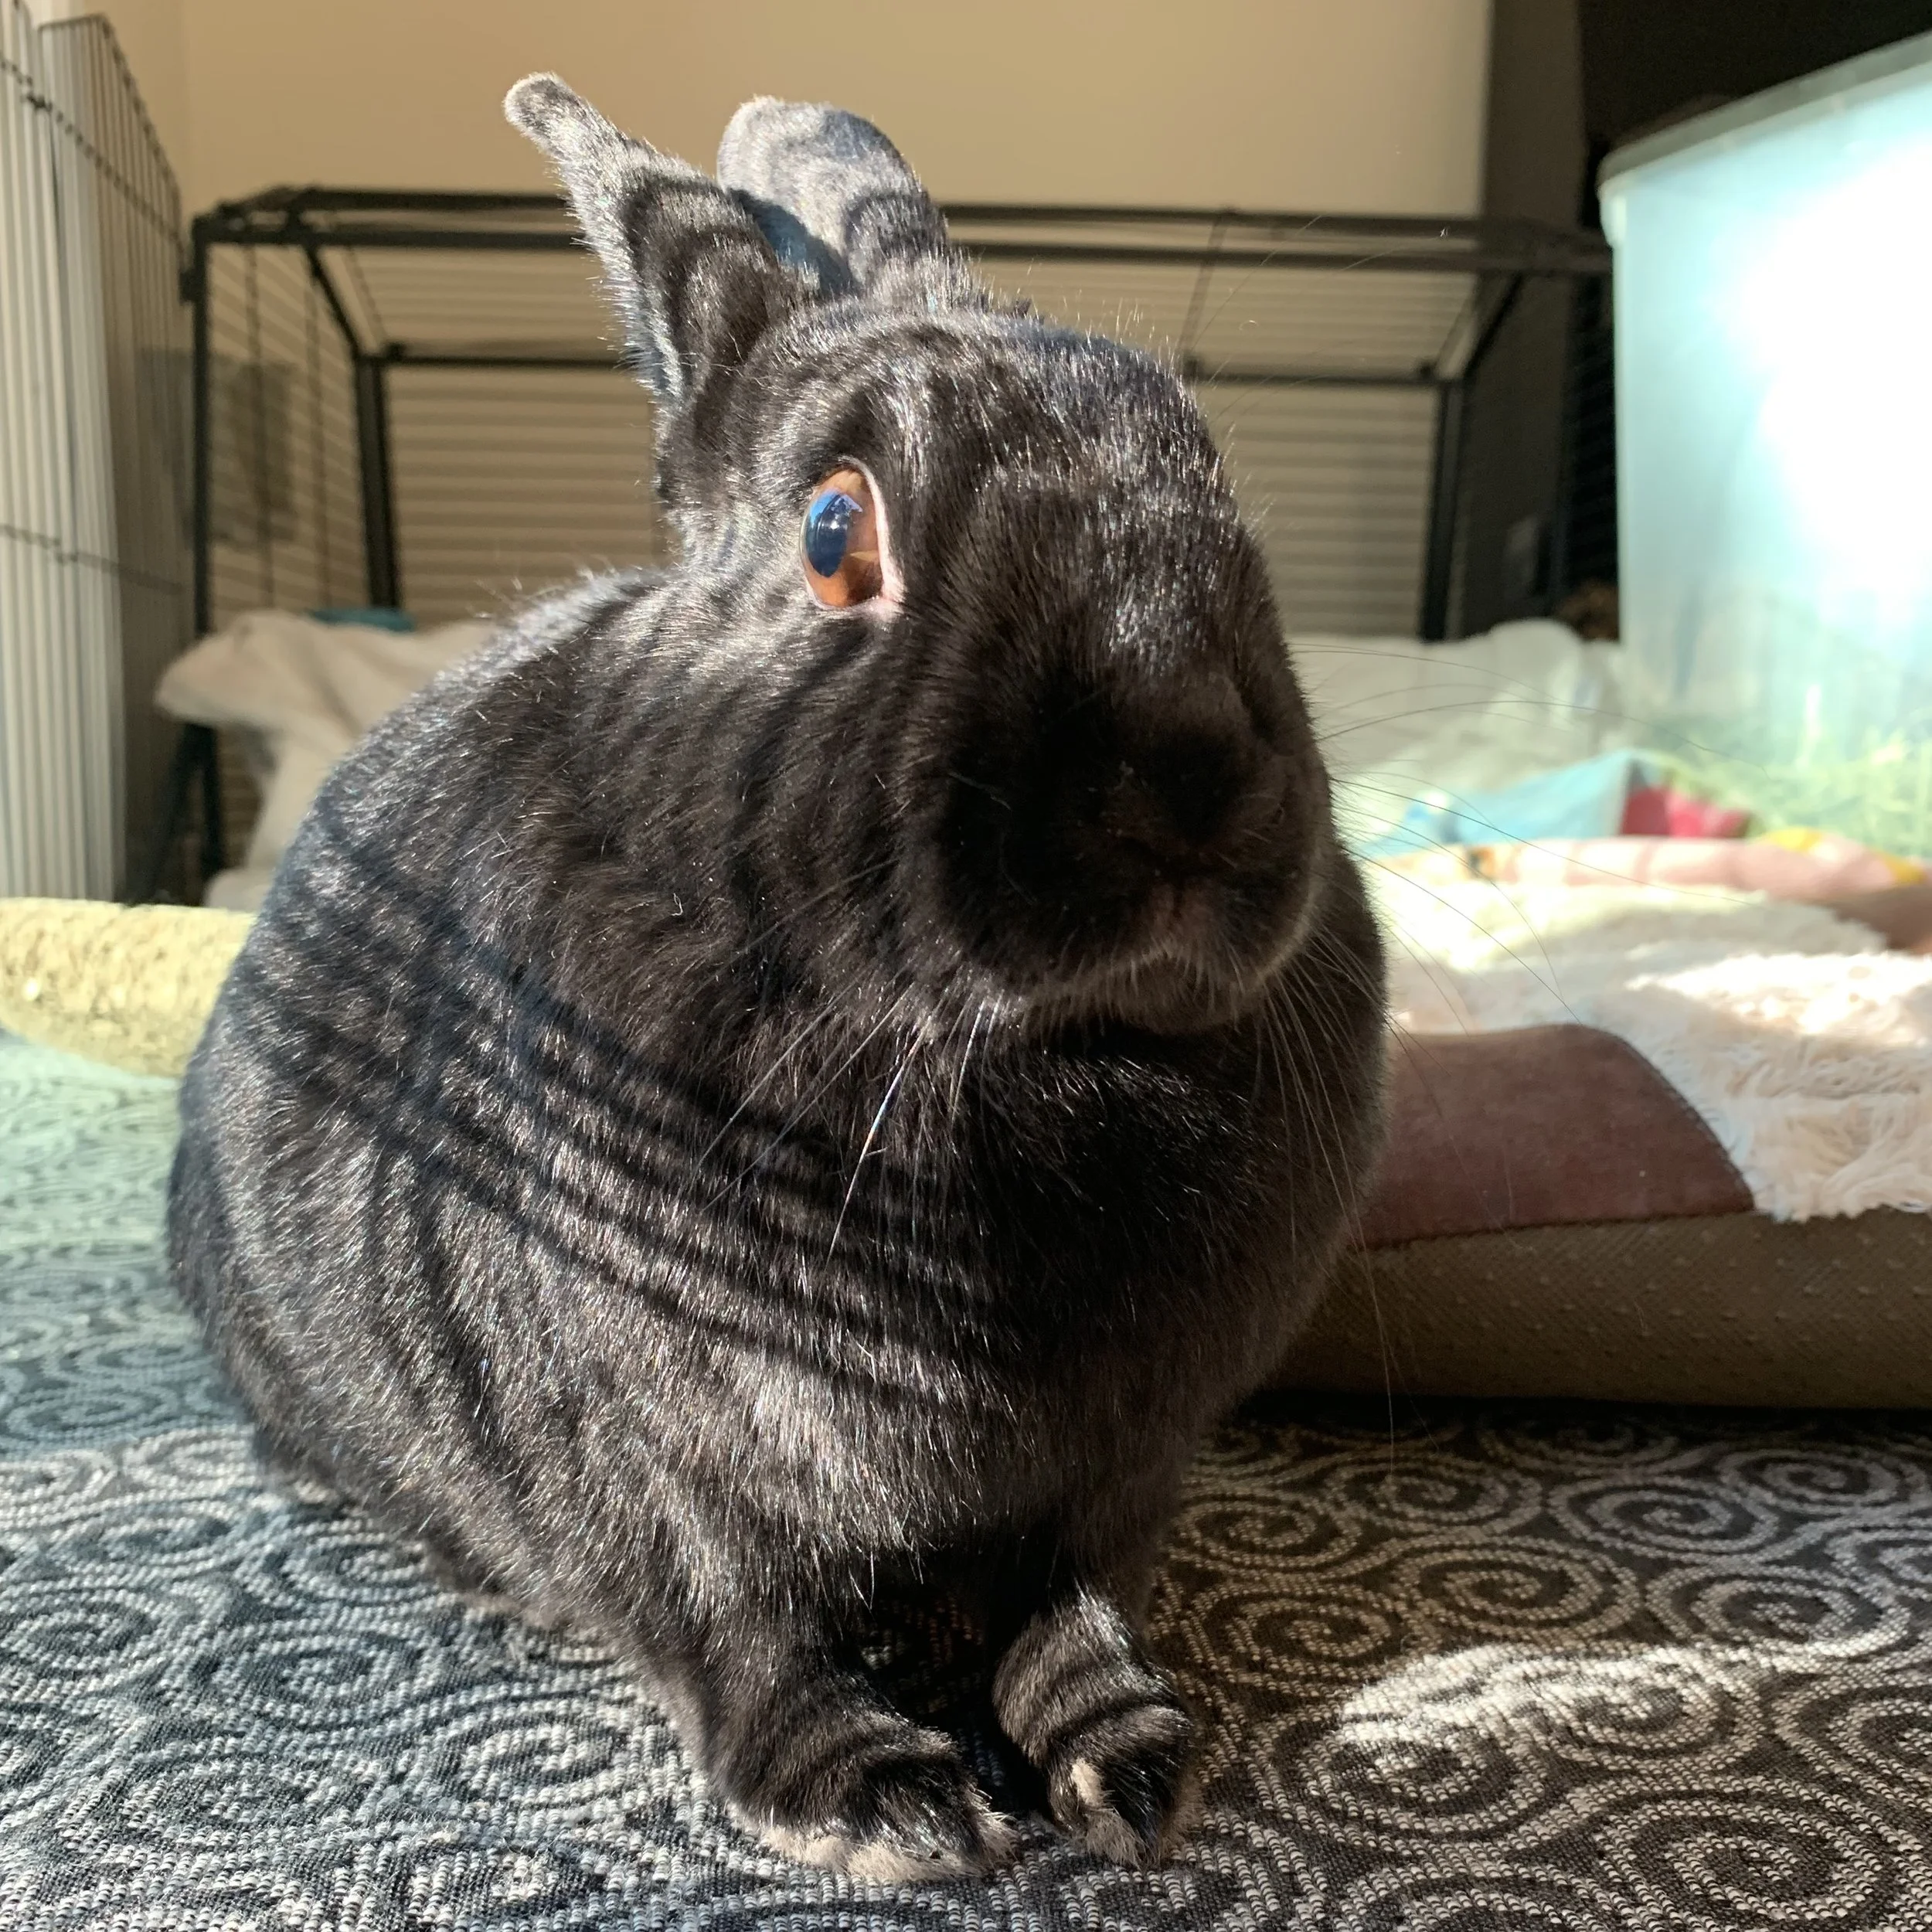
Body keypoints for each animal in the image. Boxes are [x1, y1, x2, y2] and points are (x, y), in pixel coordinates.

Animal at [166, 76, 1388, 1881]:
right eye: (832, 534)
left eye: (1204, 456)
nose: (1187, 771)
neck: (999, 1059)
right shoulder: (656, 1473)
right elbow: (737, 1629)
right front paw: (890, 1803)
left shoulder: (1118, 1465)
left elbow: (1077, 1609)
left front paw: (1134, 1764)